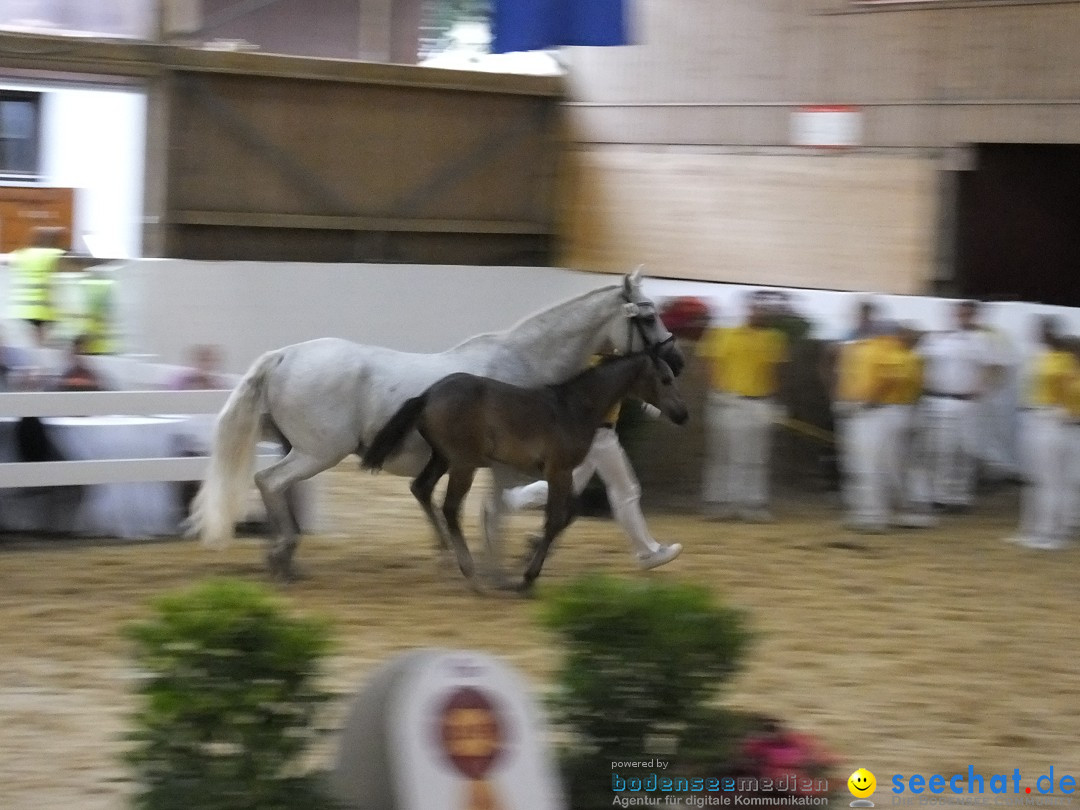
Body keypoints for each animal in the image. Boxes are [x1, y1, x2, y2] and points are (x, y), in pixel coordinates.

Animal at [187, 271, 682, 583]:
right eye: (649, 315)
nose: (675, 362)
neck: (526, 369)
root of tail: (284, 356)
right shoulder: (502, 466)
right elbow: (494, 513)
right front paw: (495, 570)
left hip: (297, 447)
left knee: (277, 487)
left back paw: (285, 556)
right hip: (318, 451)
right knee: (269, 481)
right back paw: (283, 554)